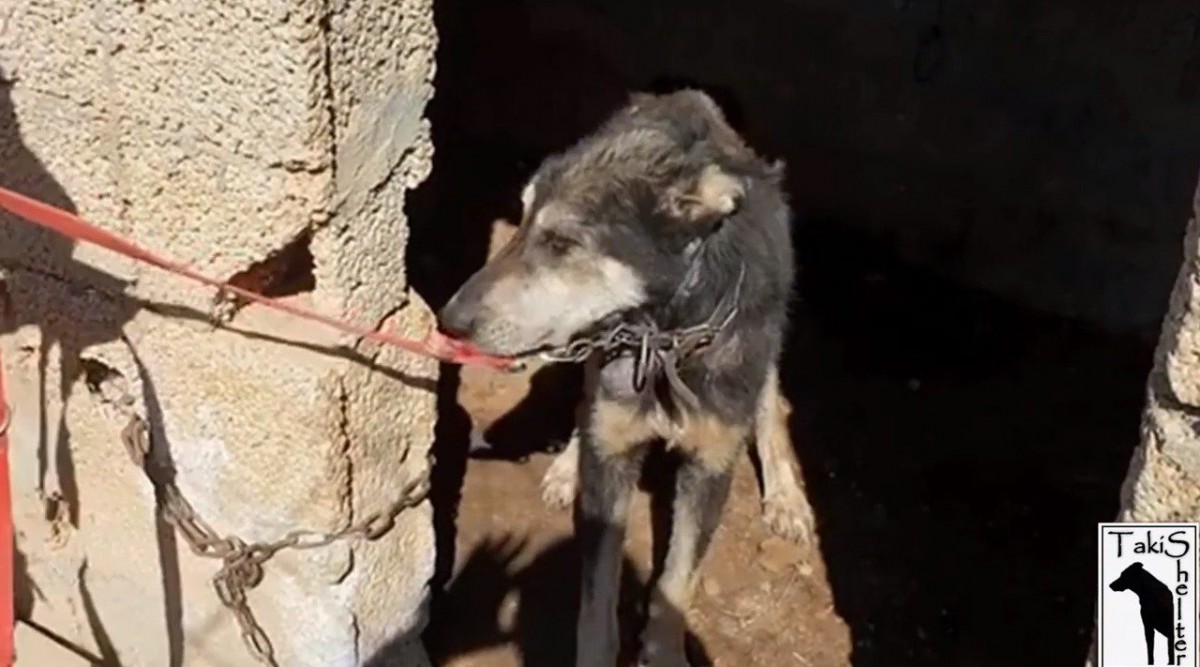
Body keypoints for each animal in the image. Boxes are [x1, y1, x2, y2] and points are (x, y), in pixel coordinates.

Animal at [436, 89, 811, 667]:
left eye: (562, 242)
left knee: (770, 398)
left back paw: (787, 493)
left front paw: (665, 651)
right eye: (520, 219)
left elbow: (675, 582)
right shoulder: (610, 458)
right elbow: (596, 597)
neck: (665, 338)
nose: (448, 319)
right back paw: (567, 463)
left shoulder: (709, 467)